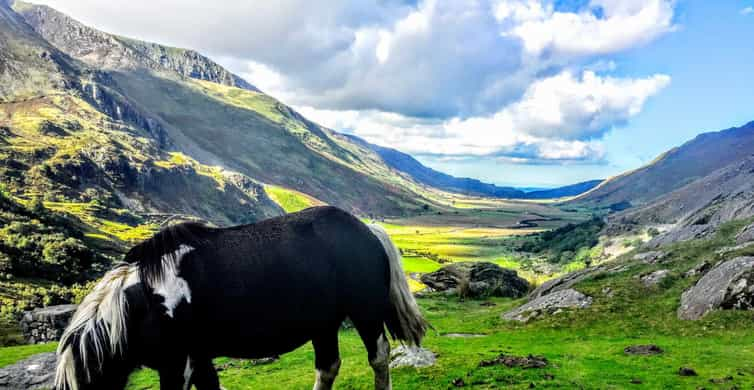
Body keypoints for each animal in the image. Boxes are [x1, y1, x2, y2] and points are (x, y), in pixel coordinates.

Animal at [54, 206, 428, 388]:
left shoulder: (178, 364)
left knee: (378, 357)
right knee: (328, 367)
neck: (145, 301)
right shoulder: (198, 358)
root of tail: (367, 229)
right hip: (323, 325)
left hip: (365, 313)